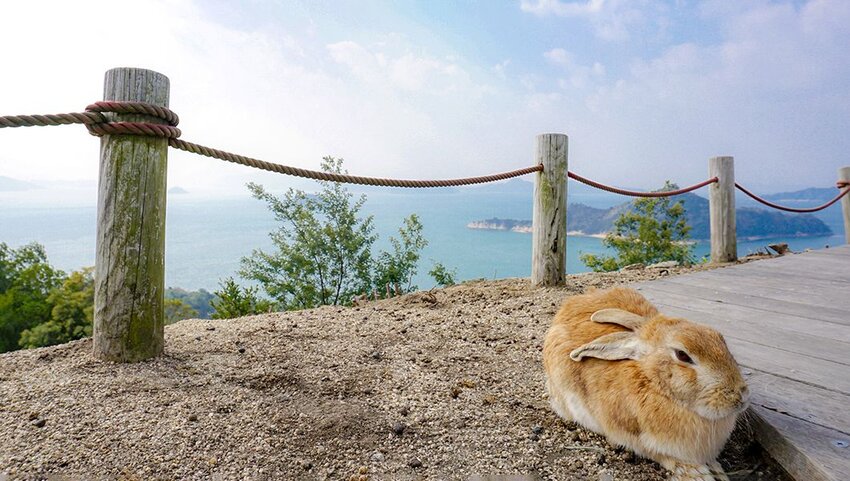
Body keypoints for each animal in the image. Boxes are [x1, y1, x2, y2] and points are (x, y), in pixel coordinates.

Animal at [544, 286, 748, 478]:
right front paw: (698, 474)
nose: (742, 395)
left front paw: (717, 469)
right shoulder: (633, 438)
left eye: (719, 338)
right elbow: (663, 456)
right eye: (682, 355)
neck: (654, 384)